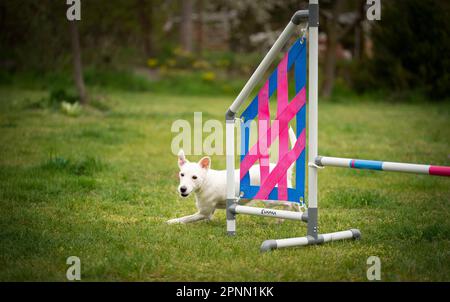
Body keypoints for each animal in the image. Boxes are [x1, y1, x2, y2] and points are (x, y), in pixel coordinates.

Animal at [167, 126, 300, 223]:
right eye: (181, 174)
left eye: (194, 177)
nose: (182, 189)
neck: (205, 182)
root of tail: (284, 168)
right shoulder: (208, 213)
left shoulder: (203, 213)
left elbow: (184, 219)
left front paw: (170, 222)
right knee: (293, 204)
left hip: (270, 200)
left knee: (290, 204)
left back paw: (282, 218)